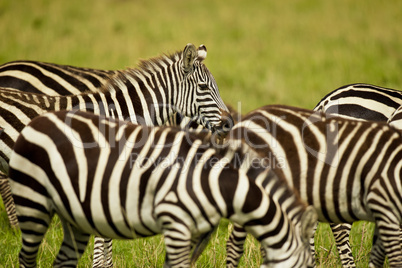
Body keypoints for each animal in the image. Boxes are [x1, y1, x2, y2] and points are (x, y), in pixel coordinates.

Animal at [5, 109, 318, 268]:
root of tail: (39, 119)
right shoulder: (176, 221)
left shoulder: (193, 231)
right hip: (33, 203)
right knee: (26, 256)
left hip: (73, 215)